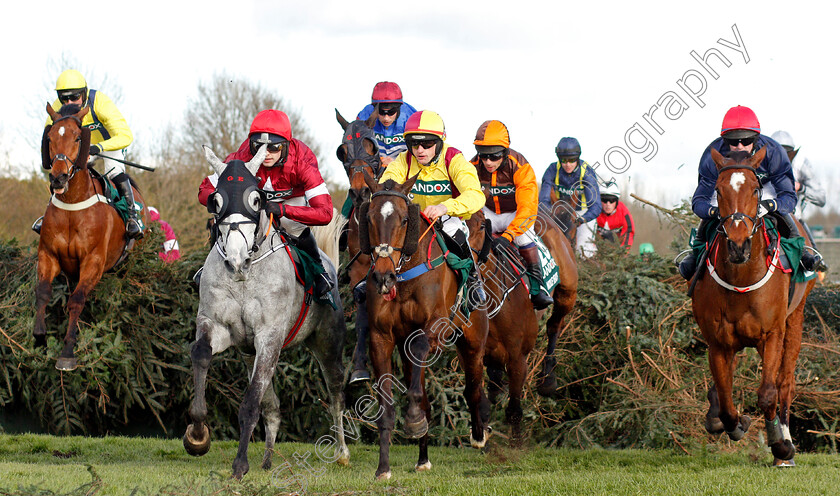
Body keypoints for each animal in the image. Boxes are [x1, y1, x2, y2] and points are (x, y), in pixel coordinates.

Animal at [34, 102, 148, 370]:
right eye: (50, 138)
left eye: (78, 138)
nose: (58, 178)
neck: (72, 205)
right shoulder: (49, 255)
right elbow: (43, 292)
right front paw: (39, 337)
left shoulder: (93, 262)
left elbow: (76, 300)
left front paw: (67, 352)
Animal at [184, 144, 352, 480]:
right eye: (216, 200)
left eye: (256, 199)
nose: (236, 261)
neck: (244, 278)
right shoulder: (217, 326)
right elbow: (201, 354)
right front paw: (197, 435)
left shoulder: (269, 336)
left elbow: (250, 402)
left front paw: (239, 465)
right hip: (253, 355)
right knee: (272, 406)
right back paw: (267, 458)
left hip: (327, 343)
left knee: (335, 393)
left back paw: (341, 452)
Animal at [358, 172, 488, 478]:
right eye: (368, 217)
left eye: (405, 219)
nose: (383, 277)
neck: (405, 277)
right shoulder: (381, 338)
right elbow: (387, 406)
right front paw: (383, 467)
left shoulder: (432, 327)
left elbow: (419, 353)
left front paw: (414, 419)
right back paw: (423, 457)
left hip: (474, 341)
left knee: (473, 387)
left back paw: (478, 434)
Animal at [692, 149, 816, 466]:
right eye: (718, 190)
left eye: (756, 190)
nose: (738, 245)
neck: (742, 277)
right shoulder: (718, 343)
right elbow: (726, 401)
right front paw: (735, 423)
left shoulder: (772, 334)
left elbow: (768, 394)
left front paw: (781, 446)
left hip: (794, 320)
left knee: (784, 382)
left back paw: (785, 444)